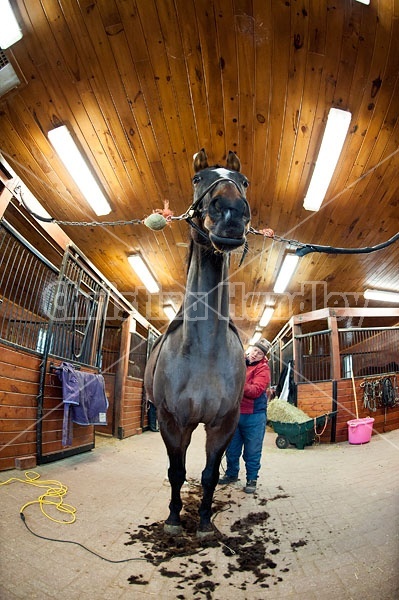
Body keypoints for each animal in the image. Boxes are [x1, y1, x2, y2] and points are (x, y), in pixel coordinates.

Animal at [144, 148, 252, 536]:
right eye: (197, 178)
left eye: (244, 181)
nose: (231, 212)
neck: (204, 352)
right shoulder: (171, 421)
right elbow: (177, 472)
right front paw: (174, 520)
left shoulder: (223, 425)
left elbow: (208, 475)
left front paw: (205, 522)